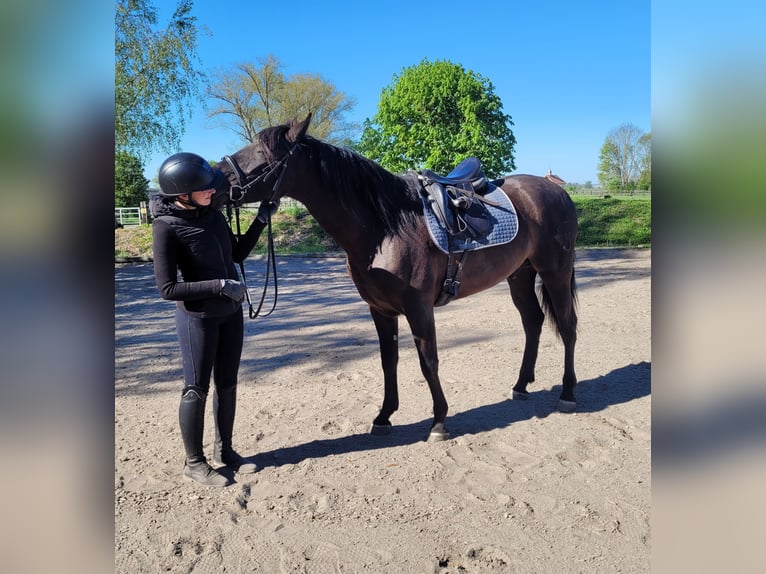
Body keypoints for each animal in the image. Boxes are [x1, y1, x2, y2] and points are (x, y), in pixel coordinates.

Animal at [216, 116, 578, 441]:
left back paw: (568, 394)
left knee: (568, 326)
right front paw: (384, 416)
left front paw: (439, 422)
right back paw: (521, 385)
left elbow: (428, 360)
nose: (217, 177)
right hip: (520, 274)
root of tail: (555, 191)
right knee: (533, 322)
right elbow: (388, 360)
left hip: (555, 271)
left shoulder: (419, 308)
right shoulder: (380, 309)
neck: (384, 229)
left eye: (264, 155)